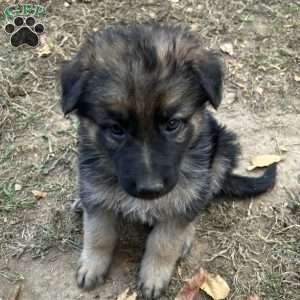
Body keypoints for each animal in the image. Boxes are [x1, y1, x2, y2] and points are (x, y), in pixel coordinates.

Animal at [60, 24, 276, 298]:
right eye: (116, 129)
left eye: (172, 124)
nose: (150, 189)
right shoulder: (94, 185)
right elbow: (98, 232)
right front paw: (92, 264)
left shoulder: (182, 195)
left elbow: (164, 241)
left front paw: (155, 275)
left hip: (222, 152)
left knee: (201, 202)